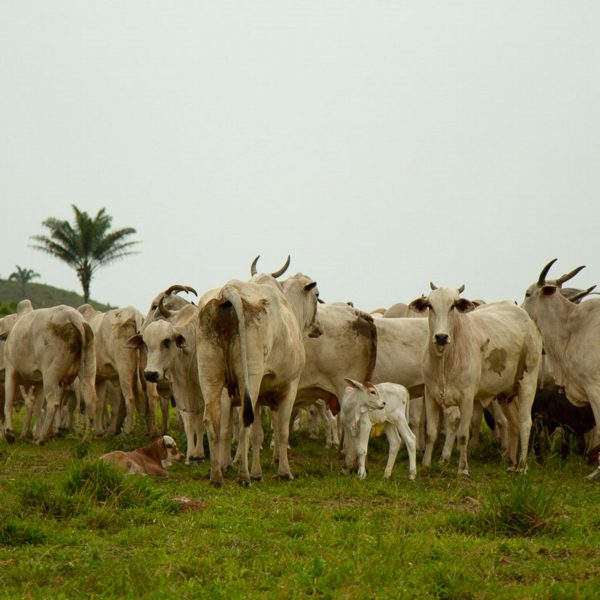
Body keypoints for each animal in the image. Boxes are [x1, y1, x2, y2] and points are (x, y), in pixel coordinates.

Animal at [1, 302, 98, 444]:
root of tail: (73, 316)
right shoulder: (39, 382)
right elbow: (37, 408)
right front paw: (35, 433)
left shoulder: (11, 370)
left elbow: (7, 404)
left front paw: (9, 433)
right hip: (88, 371)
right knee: (91, 400)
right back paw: (86, 438)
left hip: (51, 375)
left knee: (53, 404)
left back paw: (42, 439)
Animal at [195, 257, 321, 486]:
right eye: (317, 295)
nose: (318, 327)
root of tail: (228, 290)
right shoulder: (289, 386)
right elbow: (281, 431)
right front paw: (282, 471)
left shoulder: (262, 396)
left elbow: (259, 434)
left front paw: (259, 471)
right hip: (249, 379)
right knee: (244, 423)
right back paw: (243, 476)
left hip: (210, 377)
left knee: (213, 421)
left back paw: (217, 475)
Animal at [409, 284, 543, 476]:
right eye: (430, 306)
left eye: (453, 306)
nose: (441, 337)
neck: (444, 361)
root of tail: (529, 321)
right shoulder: (431, 395)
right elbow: (431, 433)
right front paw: (426, 464)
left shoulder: (467, 398)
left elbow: (463, 435)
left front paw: (463, 469)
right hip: (505, 394)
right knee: (514, 423)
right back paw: (511, 463)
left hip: (528, 384)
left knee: (525, 423)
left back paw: (522, 467)